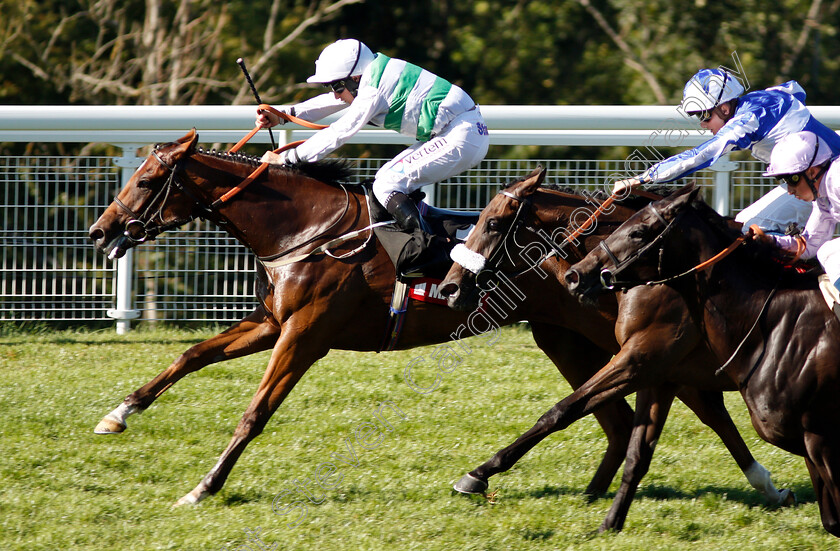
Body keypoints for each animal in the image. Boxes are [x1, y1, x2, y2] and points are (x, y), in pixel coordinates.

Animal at [87, 130, 644, 508]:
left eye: (147, 180)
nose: (99, 231)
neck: (308, 230)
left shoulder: (304, 336)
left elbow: (255, 412)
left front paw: (203, 487)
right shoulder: (272, 324)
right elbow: (191, 355)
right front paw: (119, 413)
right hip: (563, 339)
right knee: (615, 417)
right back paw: (592, 492)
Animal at [440, 174, 796, 536]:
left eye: (492, 223)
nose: (449, 288)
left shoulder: (642, 359)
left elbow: (561, 412)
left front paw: (478, 474)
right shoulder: (664, 371)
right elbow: (703, 420)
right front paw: (769, 486)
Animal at [564, 183, 840, 536]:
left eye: (638, 232)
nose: (575, 275)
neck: (773, 322)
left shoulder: (640, 363)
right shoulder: (657, 376)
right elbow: (634, 450)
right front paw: (609, 523)